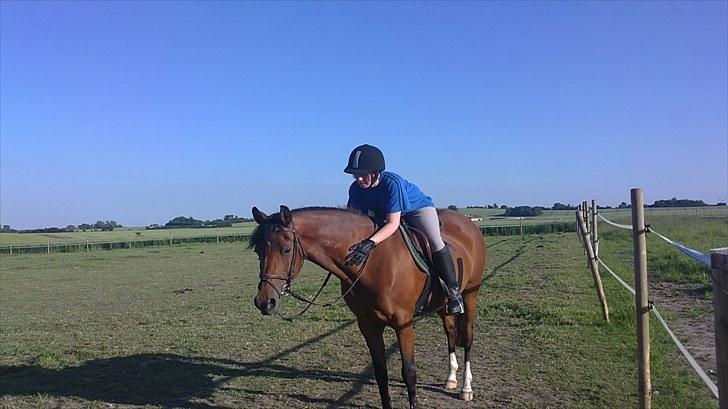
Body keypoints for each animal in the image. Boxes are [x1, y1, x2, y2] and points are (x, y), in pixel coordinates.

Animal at [250, 206, 484, 406]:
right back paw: (451, 379)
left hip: (470, 295)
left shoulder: (404, 324)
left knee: (468, 337)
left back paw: (466, 388)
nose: (264, 302)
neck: (372, 261)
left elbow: (409, 372)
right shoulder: (368, 325)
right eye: (258, 251)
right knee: (450, 333)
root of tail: (467, 224)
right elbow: (380, 373)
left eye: (286, 249)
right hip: (443, 305)